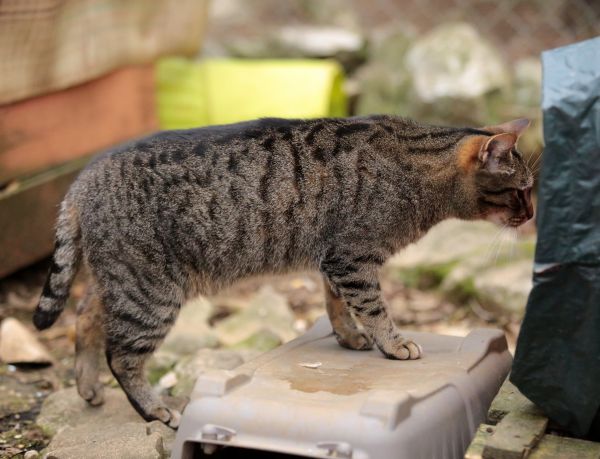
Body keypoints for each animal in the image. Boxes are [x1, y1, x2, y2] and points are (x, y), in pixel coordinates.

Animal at [32, 114, 532, 428]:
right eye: (521, 190)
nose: (531, 215)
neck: (417, 163)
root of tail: (83, 177)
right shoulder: (353, 257)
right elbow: (373, 306)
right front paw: (391, 343)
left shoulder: (335, 259)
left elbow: (338, 304)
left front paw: (351, 338)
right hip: (150, 291)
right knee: (122, 356)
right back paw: (154, 410)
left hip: (120, 279)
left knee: (85, 315)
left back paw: (87, 386)